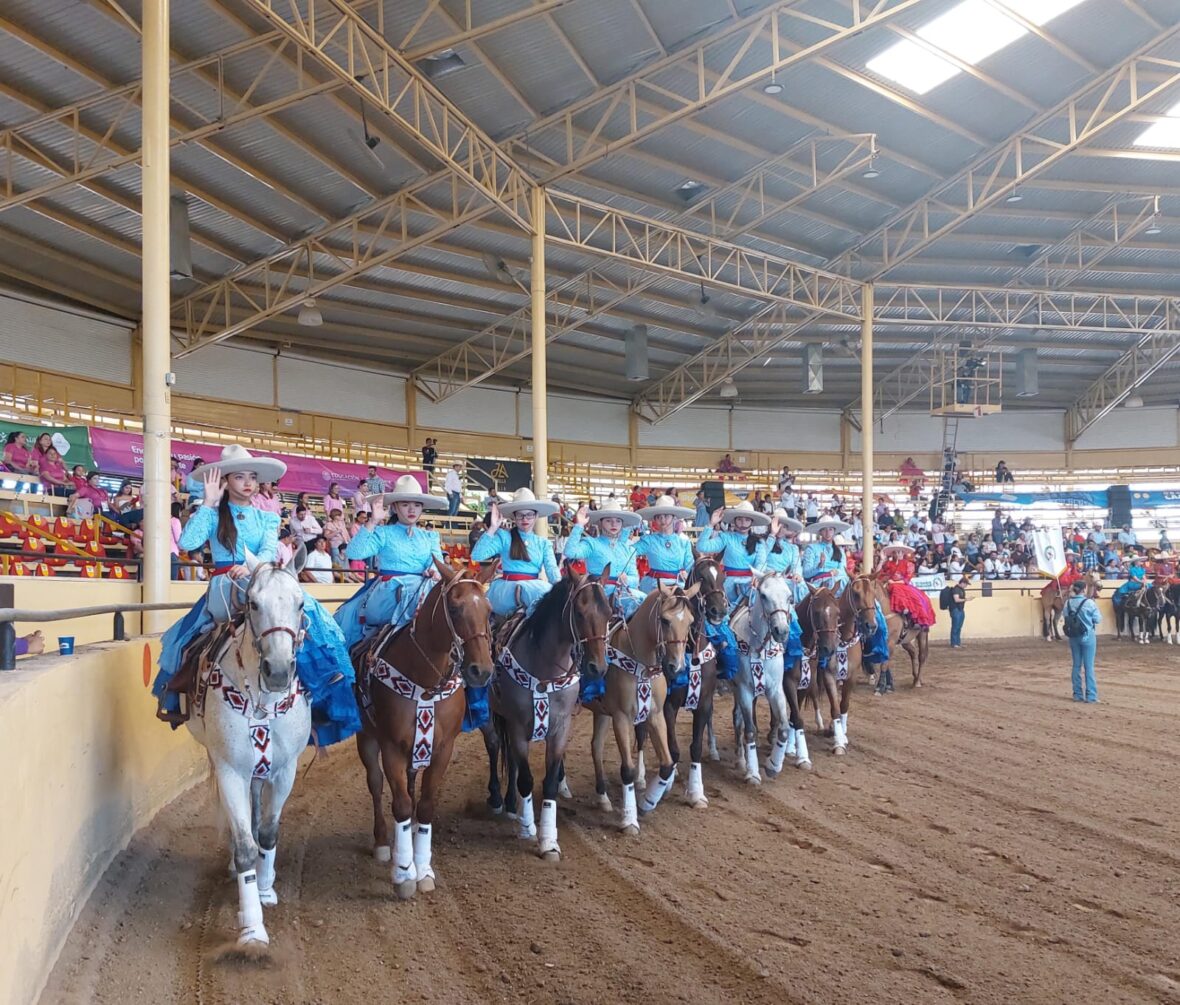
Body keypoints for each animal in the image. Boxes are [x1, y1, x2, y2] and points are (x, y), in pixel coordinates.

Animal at [185, 561, 311, 948]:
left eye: (301, 603)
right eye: (253, 603)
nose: (279, 671)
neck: (262, 701)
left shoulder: (285, 770)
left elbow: (268, 833)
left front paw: (266, 888)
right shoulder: (229, 770)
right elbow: (243, 846)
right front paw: (252, 927)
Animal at [351, 561, 495, 901]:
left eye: (489, 610)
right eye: (454, 608)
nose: (481, 671)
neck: (426, 682)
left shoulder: (443, 748)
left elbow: (426, 805)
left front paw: (424, 868)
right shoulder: (390, 746)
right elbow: (401, 803)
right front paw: (405, 874)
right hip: (367, 738)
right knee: (376, 784)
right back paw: (382, 843)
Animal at [481, 568, 608, 858]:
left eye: (608, 612)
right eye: (580, 613)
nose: (597, 667)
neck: (545, 671)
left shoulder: (560, 728)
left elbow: (548, 782)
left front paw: (549, 841)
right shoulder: (518, 726)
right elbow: (526, 780)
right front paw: (528, 829)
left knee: (510, 759)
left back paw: (510, 804)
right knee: (494, 746)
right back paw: (497, 799)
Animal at [585, 580, 693, 830]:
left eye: (690, 621)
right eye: (665, 620)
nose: (677, 667)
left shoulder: (655, 715)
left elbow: (667, 763)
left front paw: (647, 803)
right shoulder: (621, 718)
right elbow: (627, 770)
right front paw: (629, 819)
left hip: (601, 712)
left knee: (596, 747)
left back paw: (603, 798)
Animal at [726, 573, 802, 783]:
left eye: (789, 596)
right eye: (763, 595)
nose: (781, 631)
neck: (758, 648)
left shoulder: (775, 690)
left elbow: (783, 729)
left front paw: (773, 765)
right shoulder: (743, 690)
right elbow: (749, 730)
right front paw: (752, 772)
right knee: (738, 720)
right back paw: (741, 759)